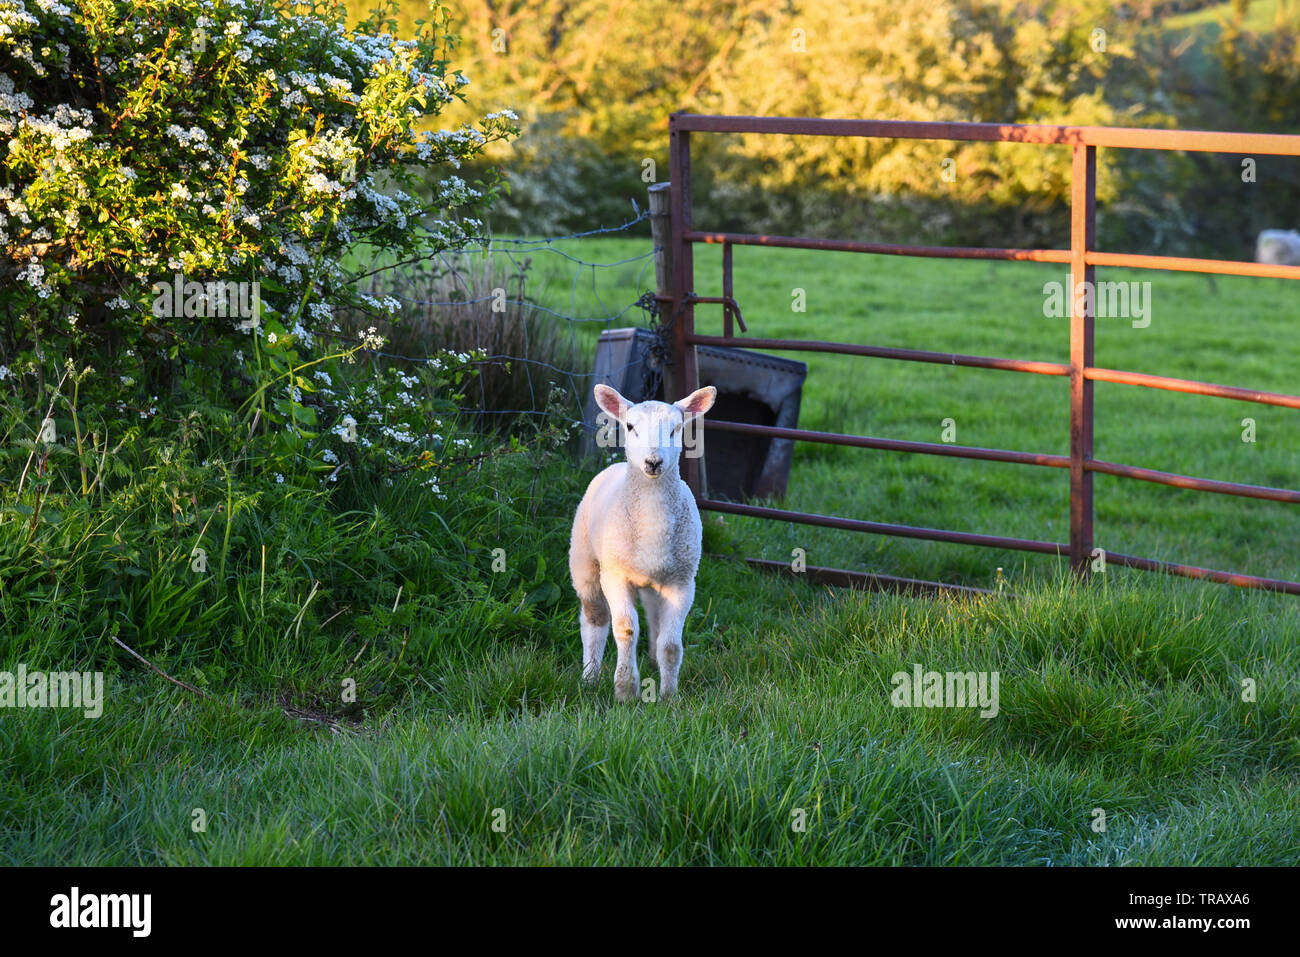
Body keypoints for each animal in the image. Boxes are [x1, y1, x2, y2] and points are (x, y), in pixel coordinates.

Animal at [566, 382, 717, 702]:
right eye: (630, 426)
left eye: (676, 429)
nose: (653, 462)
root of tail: (613, 467)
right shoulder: (615, 575)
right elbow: (625, 630)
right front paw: (625, 691)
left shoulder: (683, 582)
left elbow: (671, 644)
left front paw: (669, 696)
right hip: (584, 561)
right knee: (594, 619)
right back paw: (590, 676)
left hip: (654, 581)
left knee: (654, 618)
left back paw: (652, 661)